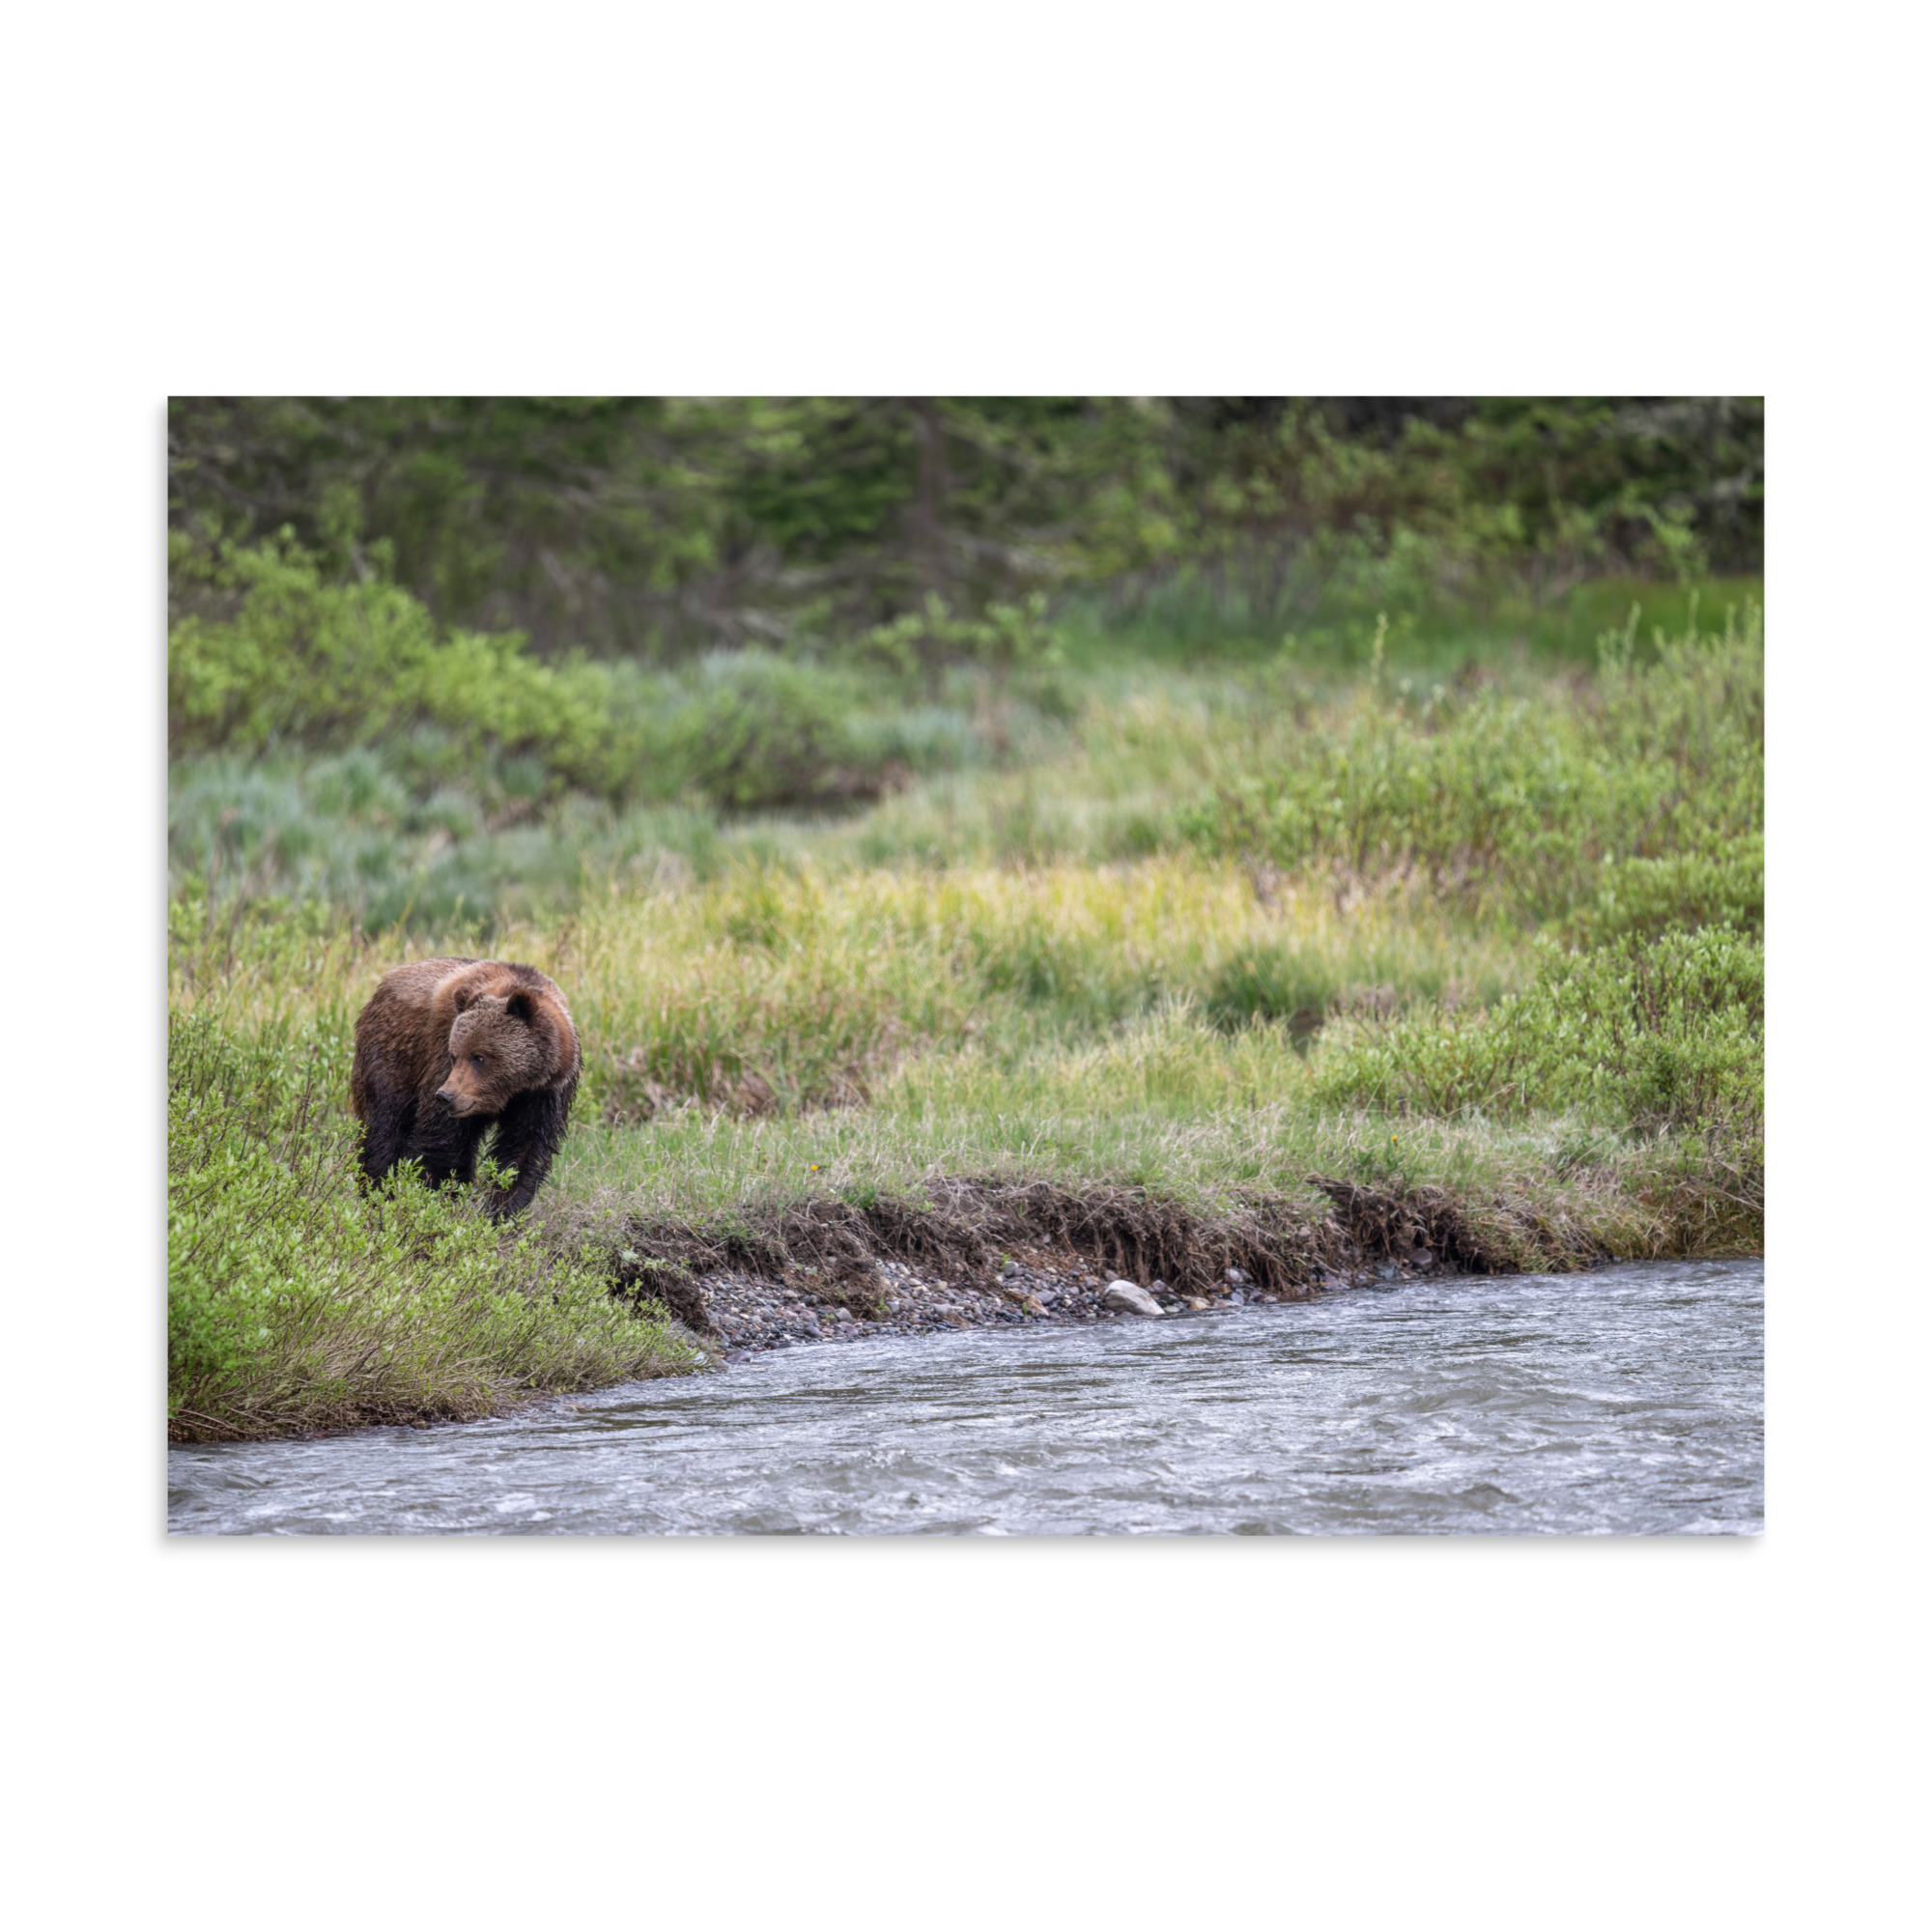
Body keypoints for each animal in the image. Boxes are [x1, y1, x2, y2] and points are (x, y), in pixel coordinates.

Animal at [349, 957, 581, 1219]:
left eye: (479, 1057)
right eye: (454, 1055)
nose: (445, 1096)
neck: (513, 1089)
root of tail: (385, 983)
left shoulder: (544, 1095)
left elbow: (523, 1151)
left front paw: (501, 1210)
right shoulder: (440, 1059)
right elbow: (443, 1142)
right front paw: (440, 1200)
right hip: (393, 1055)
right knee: (384, 1128)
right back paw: (377, 1196)